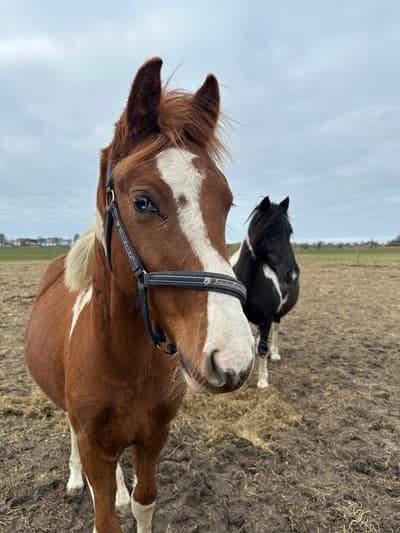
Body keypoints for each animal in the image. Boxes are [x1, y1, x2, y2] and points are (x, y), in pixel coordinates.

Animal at [25, 56, 255, 528]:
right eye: (143, 201)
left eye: (226, 202)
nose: (234, 359)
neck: (123, 361)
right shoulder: (94, 445)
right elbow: (104, 515)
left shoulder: (153, 438)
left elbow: (143, 500)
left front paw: (127, 497)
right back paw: (73, 480)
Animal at [230, 195, 298, 386]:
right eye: (269, 233)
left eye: (289, 232)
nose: (292, 274)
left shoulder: (267, 317)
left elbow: (262, 348)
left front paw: (262, 380)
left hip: (276, 315)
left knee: (274, 331)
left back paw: (274, 354)